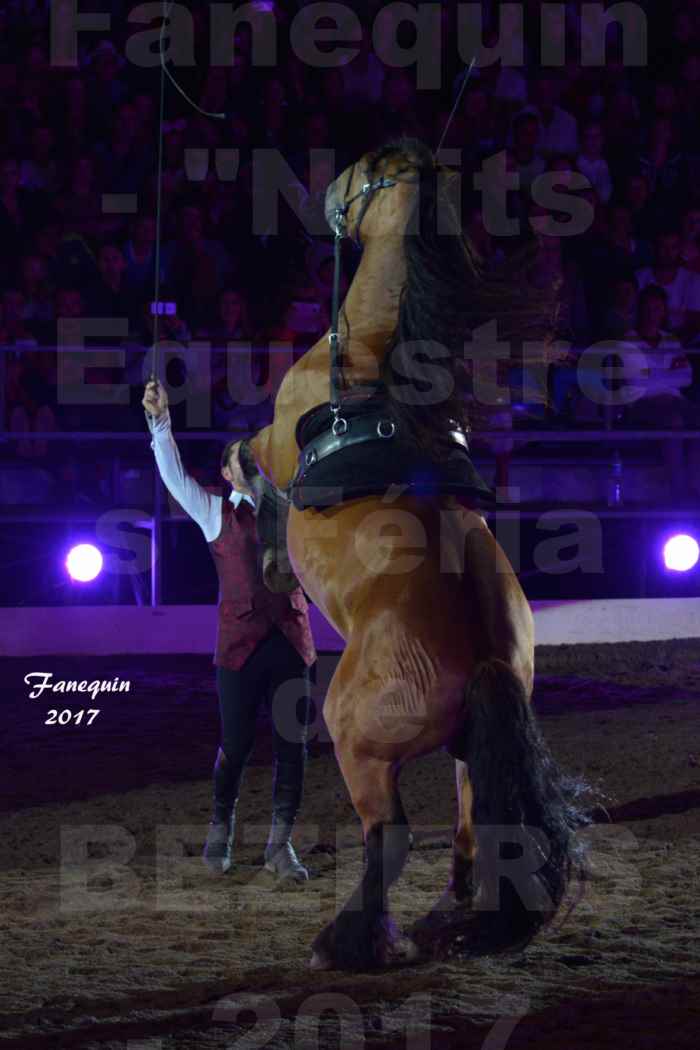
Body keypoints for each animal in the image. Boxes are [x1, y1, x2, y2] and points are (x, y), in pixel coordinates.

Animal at [246, 137, 587, 965]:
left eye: (364, 170)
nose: (325, 192)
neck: (370, 357)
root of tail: (488, 659)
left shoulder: (273, 443)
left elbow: (246, 462)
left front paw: (265, 548)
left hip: (357, 743)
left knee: (389, 836)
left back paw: (348, 939)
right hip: (466, 756)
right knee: (469, 833)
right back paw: (445, 921)